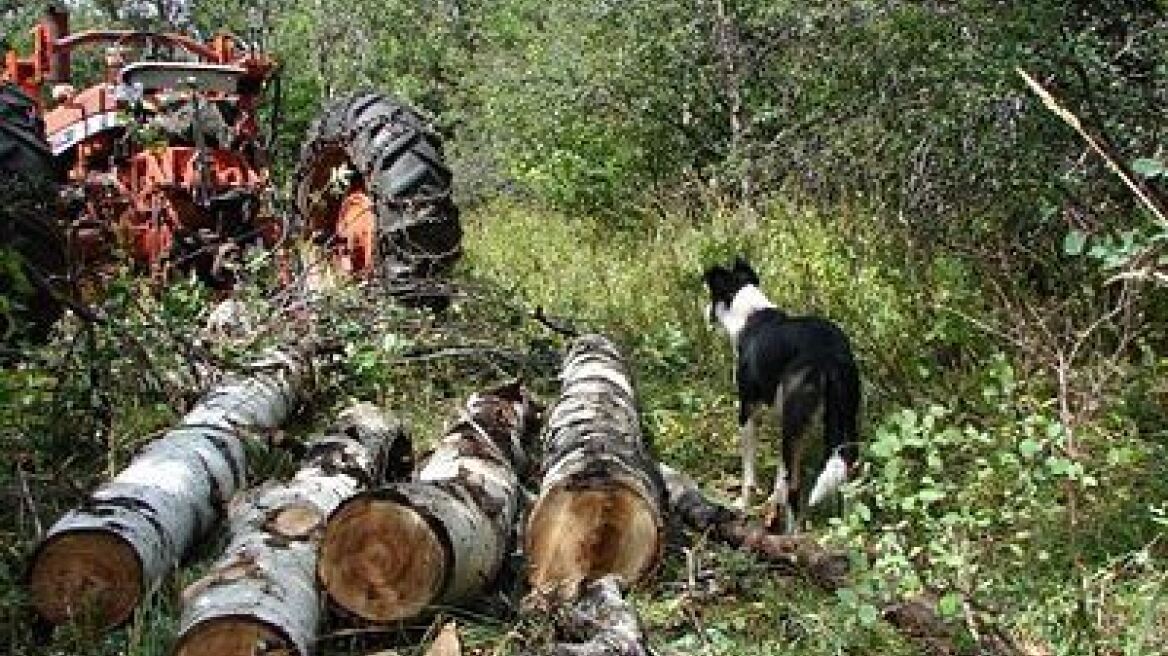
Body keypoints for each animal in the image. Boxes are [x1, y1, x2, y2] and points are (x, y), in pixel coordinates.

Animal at [700, 255, 859, 532]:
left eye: (712, 295)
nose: (704, 311)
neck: (750, 314)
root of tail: (830, 357)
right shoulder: (783, 419)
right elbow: (780, 476)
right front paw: (772, 505)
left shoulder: (748, 411)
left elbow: (749, 474)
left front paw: (744, 504)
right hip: (841, 421)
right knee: (846, 476)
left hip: (796, 421)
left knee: (796, 487)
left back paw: (791, 534)